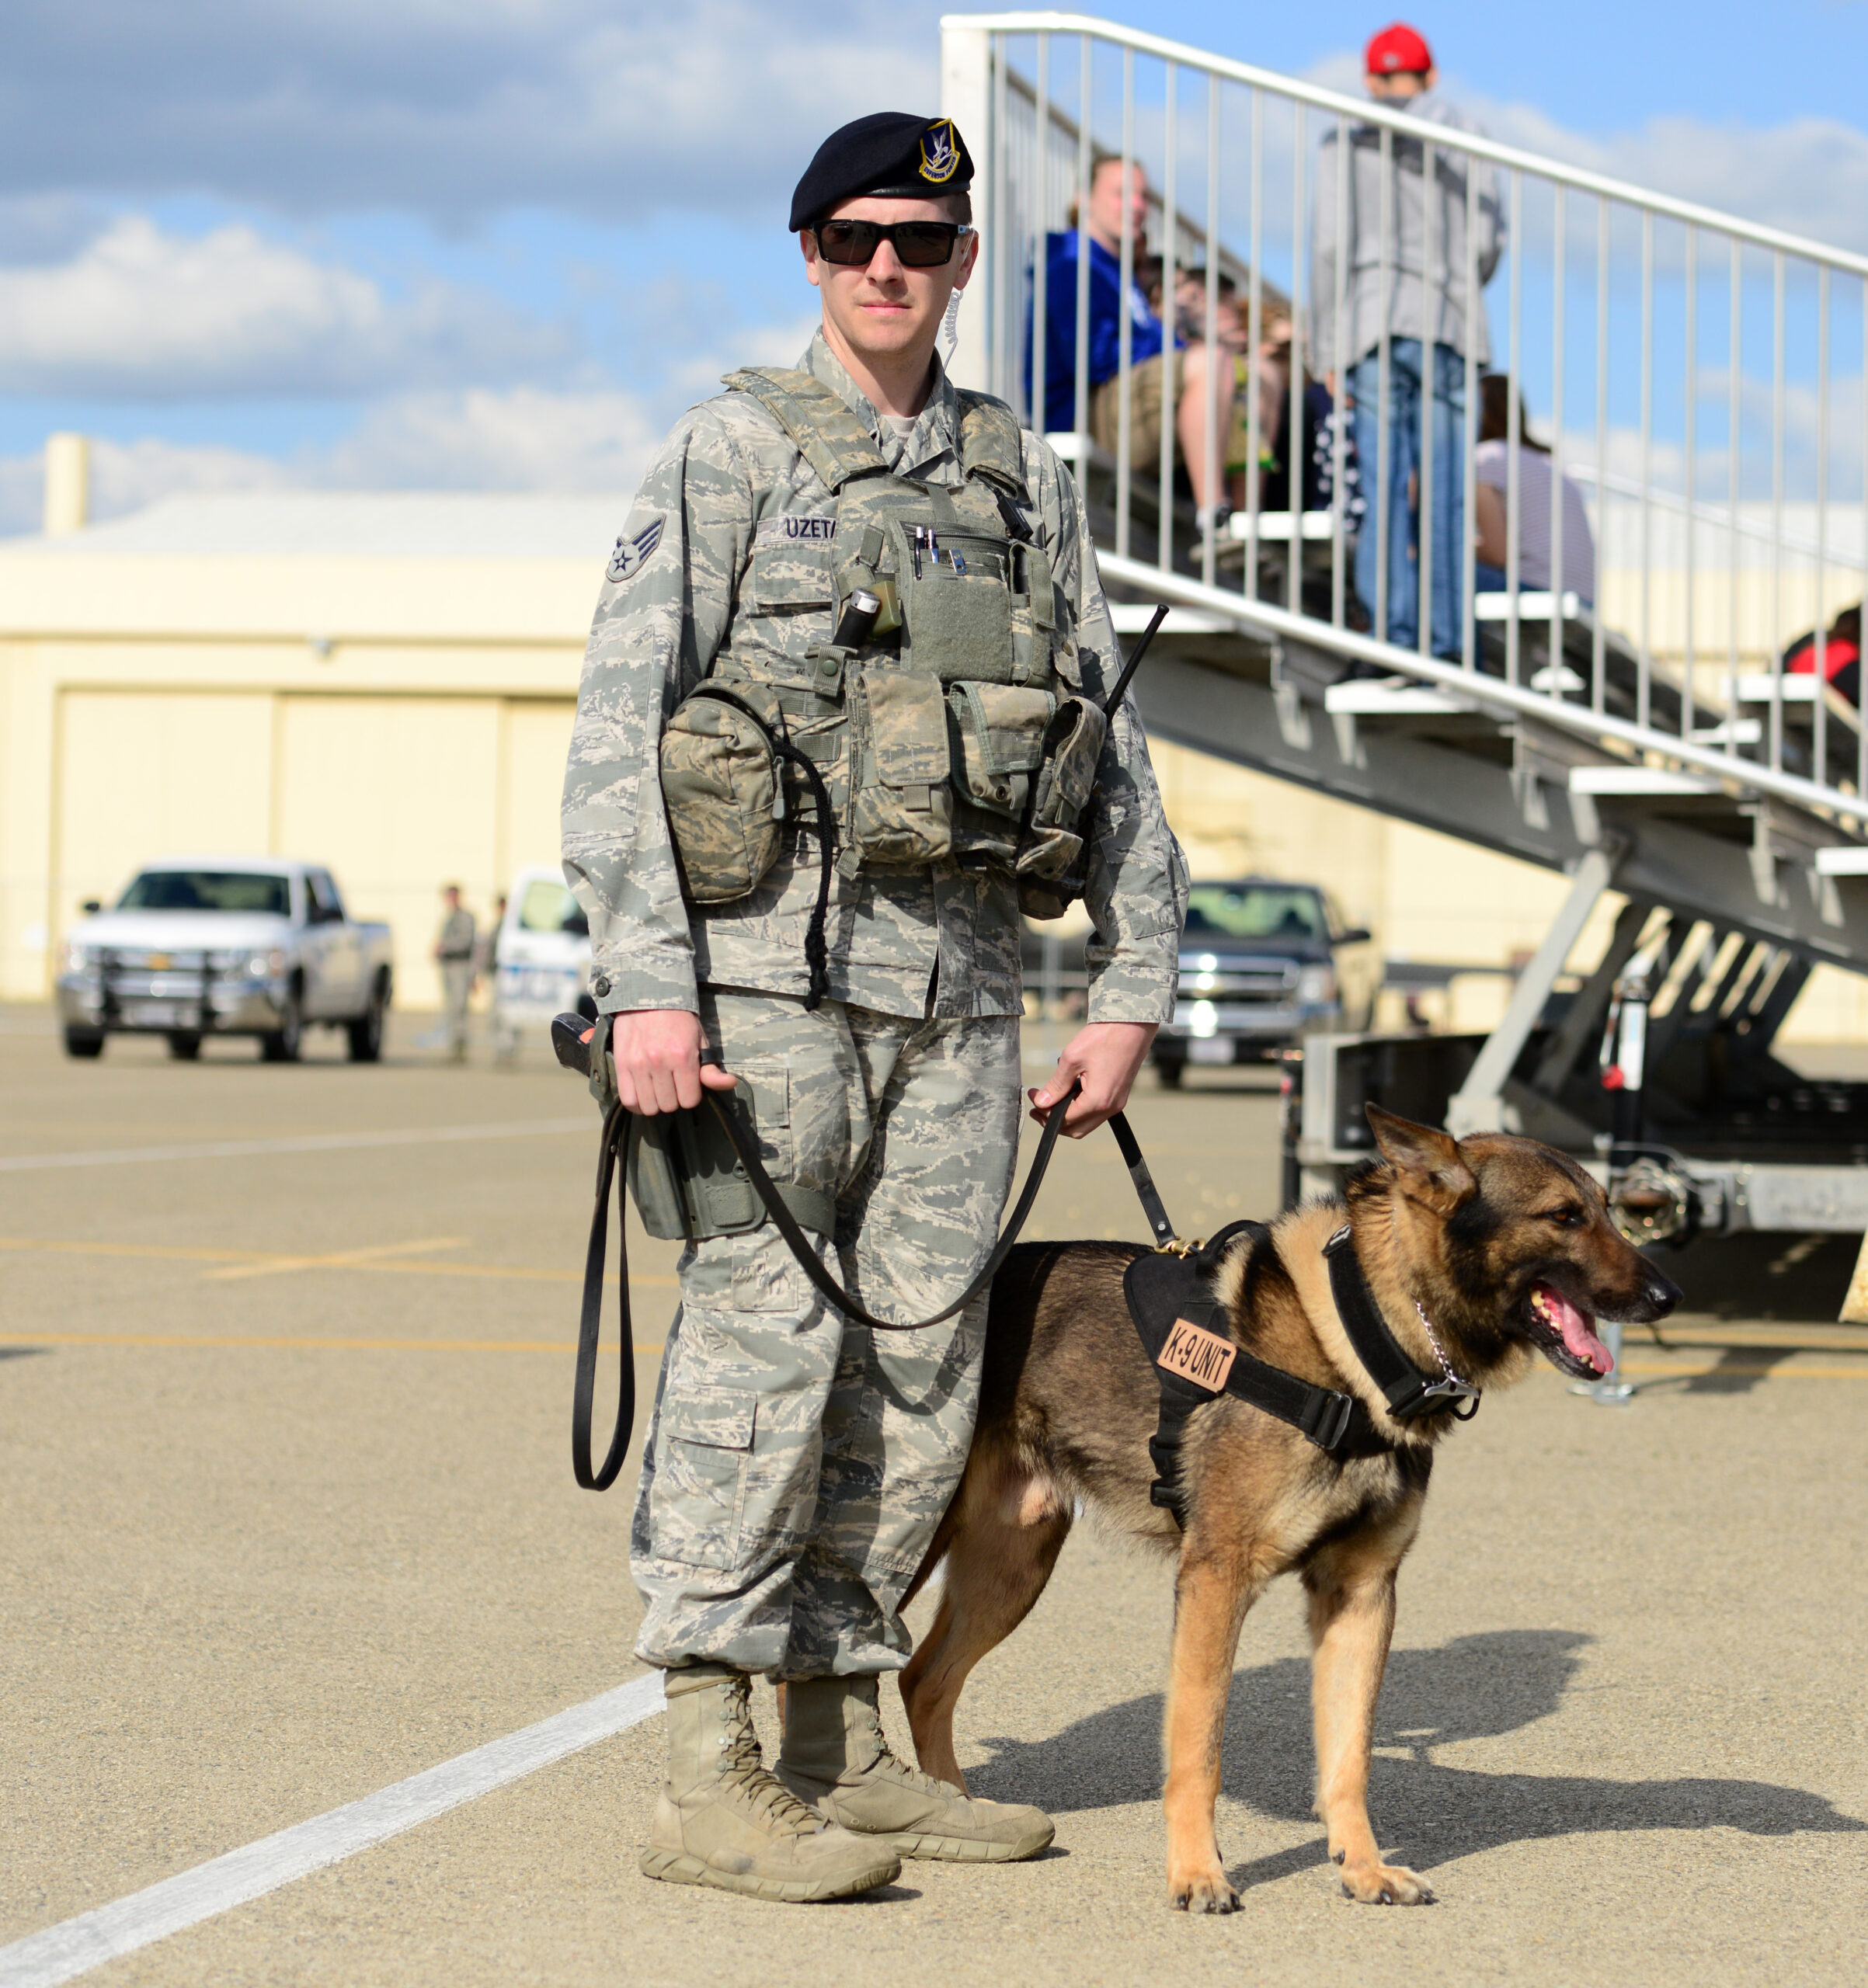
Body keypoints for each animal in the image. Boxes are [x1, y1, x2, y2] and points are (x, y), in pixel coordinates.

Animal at [899, 1113, 1686, 1900]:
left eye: (1610, 1209)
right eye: (1563, 1216)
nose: (1666, 1298)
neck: (1355, 1343)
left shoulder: (1359, 1596)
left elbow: (1348, 1757)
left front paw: (1362, 1867)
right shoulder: (1216, 1581)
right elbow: (1199, 1747)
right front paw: (1196, 1872)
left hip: (1011, 1573)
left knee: (922, 1679)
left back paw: (960, 1816)